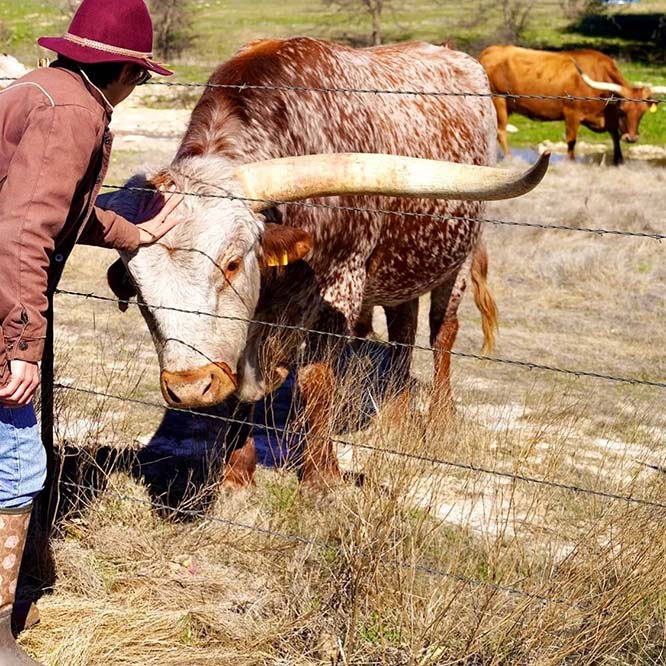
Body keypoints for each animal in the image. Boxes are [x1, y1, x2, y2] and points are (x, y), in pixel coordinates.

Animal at [480, 45, 660, 165]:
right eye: (622, 110)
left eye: (642, 113)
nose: (632, 138)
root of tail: (489, 51)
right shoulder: (572, 114)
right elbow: (571, 141)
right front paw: (571, 162)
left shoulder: (609, 121)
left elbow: (615, 137)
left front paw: (619, 160)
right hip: (499, 100)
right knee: (501, 131)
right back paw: (510, 158)